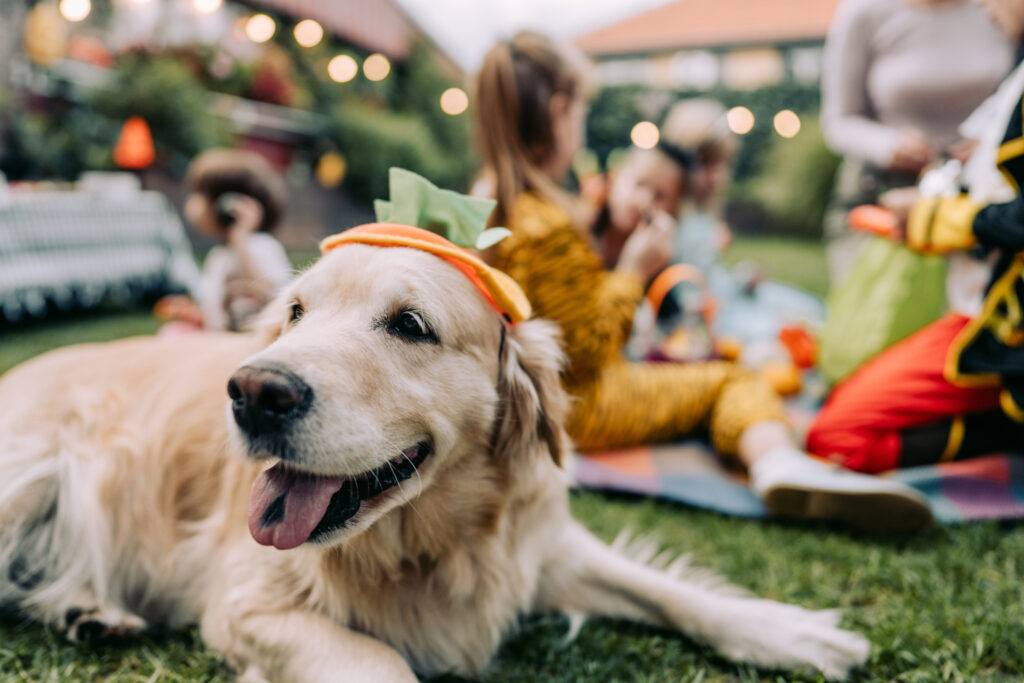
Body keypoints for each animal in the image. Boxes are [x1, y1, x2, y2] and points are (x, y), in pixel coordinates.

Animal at [0, 242, 868, 679]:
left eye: (410, 325)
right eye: (294, 312)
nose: (252, 392)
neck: (426, 545)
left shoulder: (533, 547)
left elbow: (665, 588)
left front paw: (792, 631)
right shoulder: (243, 603)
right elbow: (380, 660)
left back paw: (90, 610)